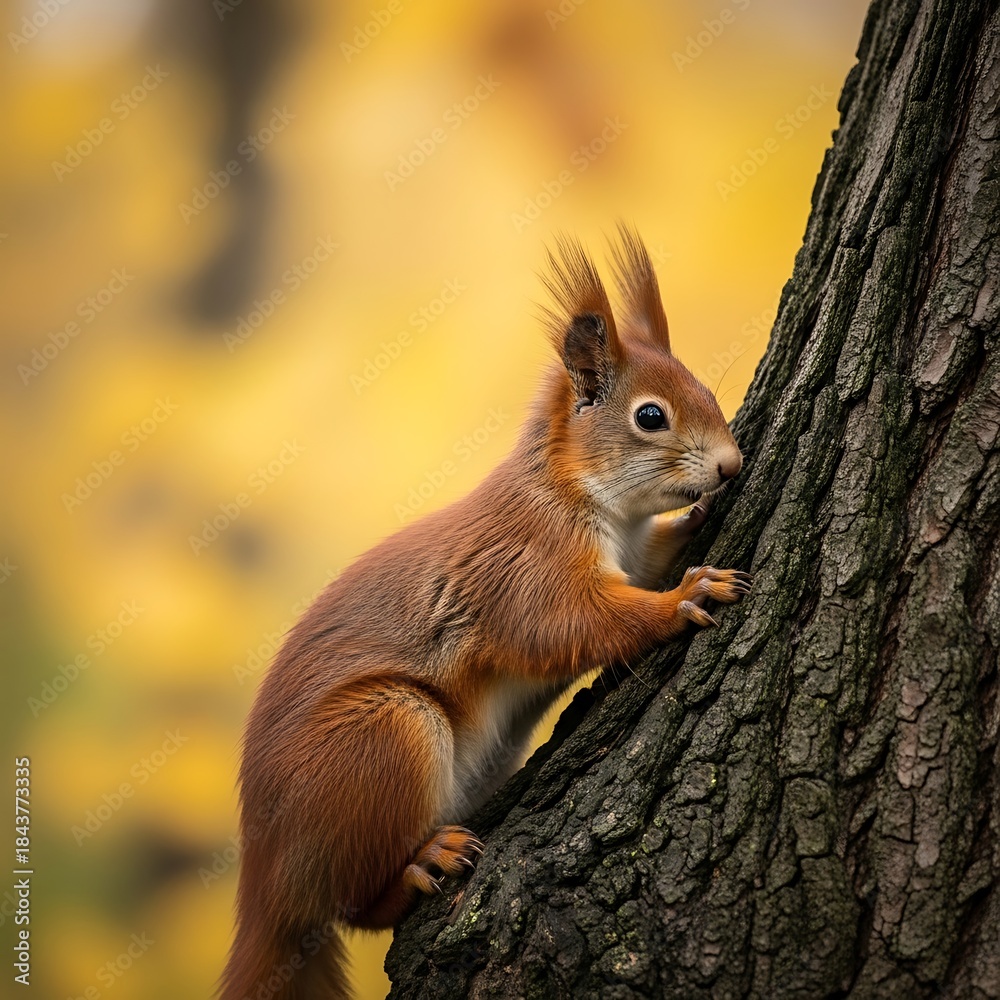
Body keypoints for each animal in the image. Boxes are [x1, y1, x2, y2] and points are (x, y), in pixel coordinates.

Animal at [220, 226, 749, 1000]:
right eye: (651, 416)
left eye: (707, 389)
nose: (731, 466)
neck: (572, 490)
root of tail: (261, 891)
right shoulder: (522, 567)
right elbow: (569, 624)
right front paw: (685, 597)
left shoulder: (625, 550)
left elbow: (645, 564)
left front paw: (694, 526)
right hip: (378, 741)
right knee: (354, 906)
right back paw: (421, 868)